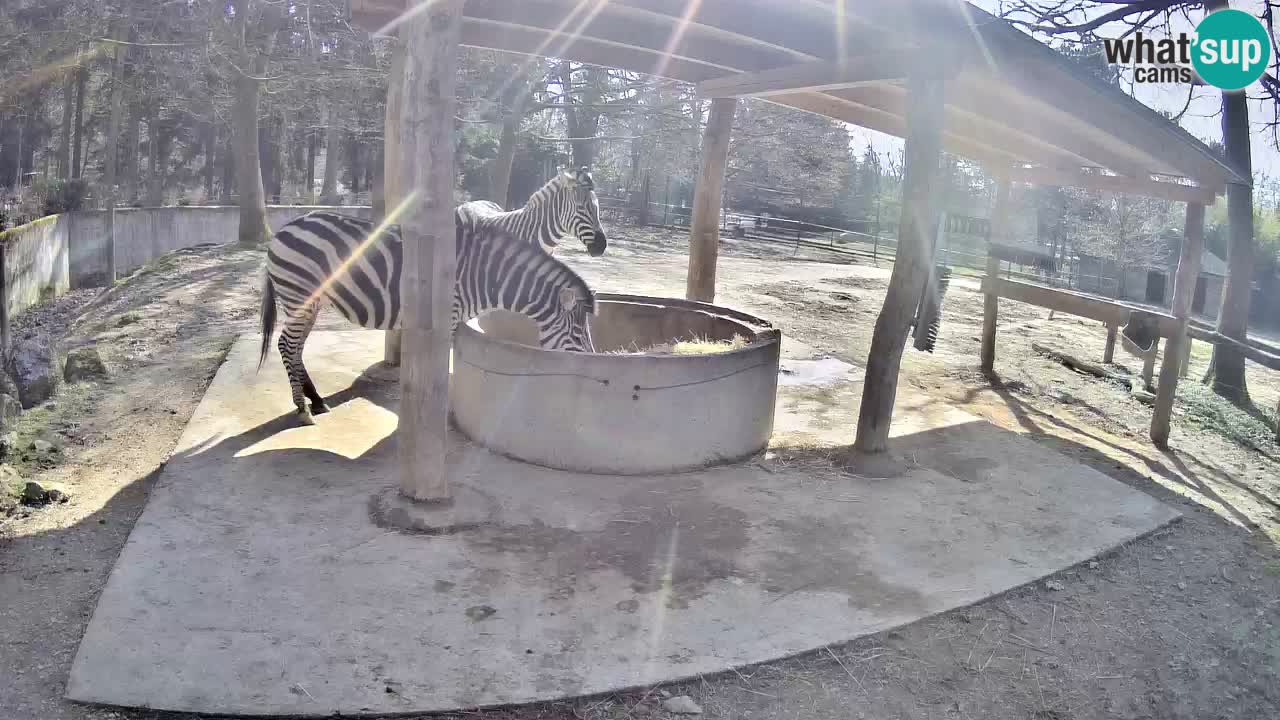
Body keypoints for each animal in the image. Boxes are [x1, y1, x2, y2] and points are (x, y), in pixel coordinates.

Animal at [259, 209, 596, 425]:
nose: (591, 361)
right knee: (287, 345)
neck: (485, 277)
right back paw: (302, 409)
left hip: (310, 300)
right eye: (578, 335)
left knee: (296, 347)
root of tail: (285, 228)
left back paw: (315, 400)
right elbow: (443, 365)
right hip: (299, 294)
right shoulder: (448, 316)